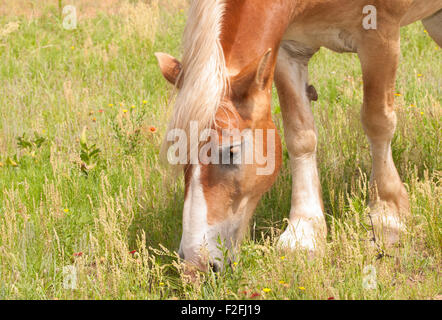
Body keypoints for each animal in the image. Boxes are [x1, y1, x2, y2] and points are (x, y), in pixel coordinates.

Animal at [155, 0, 442, 272]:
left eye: (231, 151)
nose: (195, 264)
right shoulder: (288, 50)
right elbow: (300, 136)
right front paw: (304, 233)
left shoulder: (381, 33)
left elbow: (378, 122)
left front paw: (386, 214)